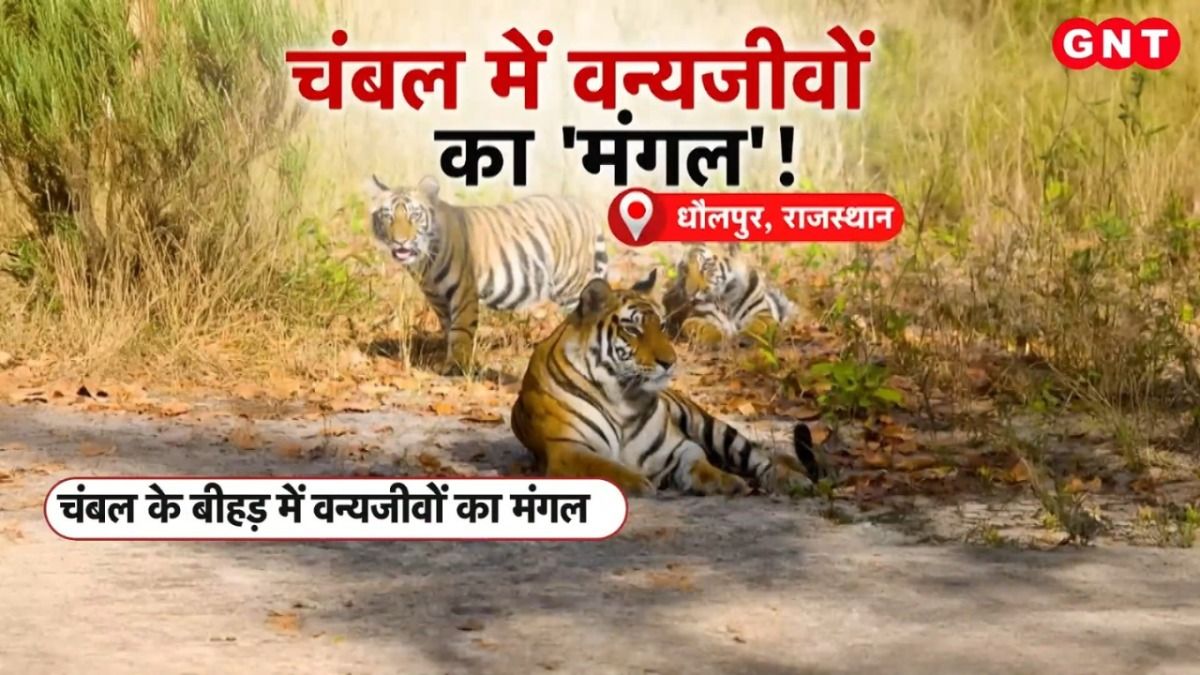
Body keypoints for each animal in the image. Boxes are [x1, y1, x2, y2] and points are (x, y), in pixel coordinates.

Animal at [366, 174, 609, 375]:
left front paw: (455, 366)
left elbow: (461, 330)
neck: (424, 263)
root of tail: (586, 209)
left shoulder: (464, 292)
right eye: (387, 216)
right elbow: (448, 328)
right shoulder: (437, 298)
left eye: (415, 215)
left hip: (572, 286)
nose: (400, 241)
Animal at [510, 270, 823, 497]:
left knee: (760, 457)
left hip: (712, 426)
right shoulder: (568, 449)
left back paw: (791, 479)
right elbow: (605, 467)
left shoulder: (677, 448)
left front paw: (726, 481)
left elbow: (700, 463)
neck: (622, 398)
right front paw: (638, 483)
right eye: (633, 329)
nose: (670, 361)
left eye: (660, 326)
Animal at [662, 244, 796, 349]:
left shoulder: (763, 313)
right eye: (685, 270)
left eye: (705, 267)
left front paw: (744, 336)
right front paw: (723, 338)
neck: (727, 297)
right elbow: (705, 329)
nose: (690, 292)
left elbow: (758, 326)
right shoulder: (694, 318)